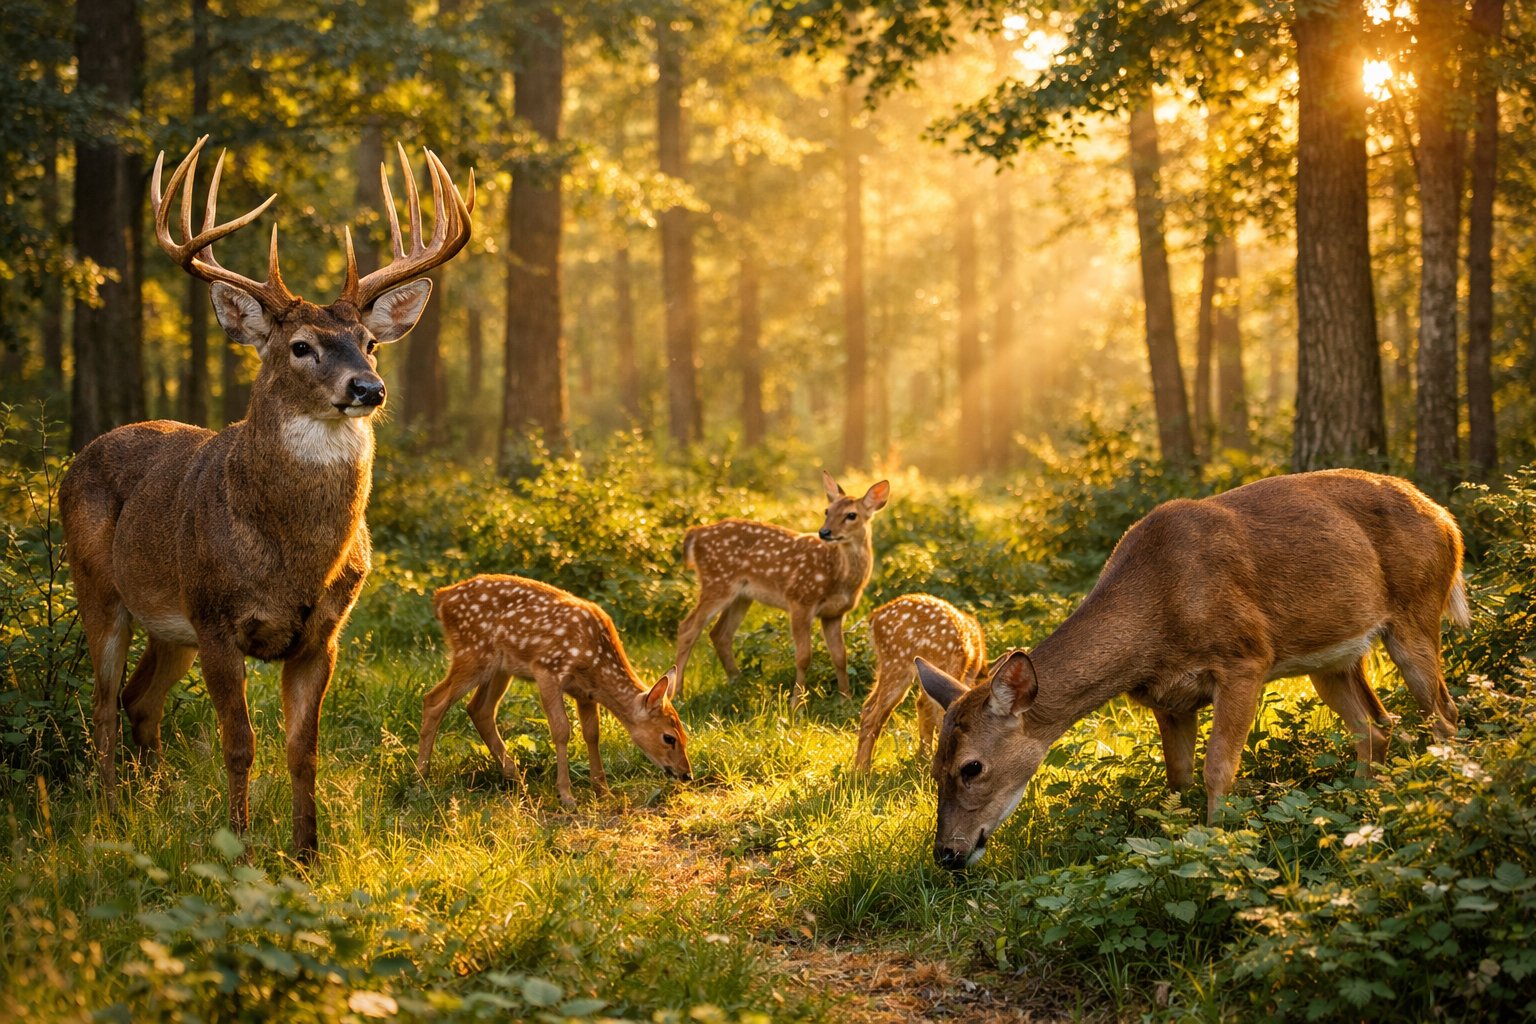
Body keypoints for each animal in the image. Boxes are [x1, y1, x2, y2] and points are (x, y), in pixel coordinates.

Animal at [59, 136, 474, 859]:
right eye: (300, 346)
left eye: (369, 342)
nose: (368, 388)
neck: (292, 561)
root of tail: (77, 457)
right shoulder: (217, 619)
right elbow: (240, 745)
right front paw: (239, 846)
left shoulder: (322, 634)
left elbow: (303, 748)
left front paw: (307, 853)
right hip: (101, 589)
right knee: (104, 704)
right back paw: (111, 815)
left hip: (170, 626)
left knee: (141, 700)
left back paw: (150, 802)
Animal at [417, 575, 692, 806]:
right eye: (669, 737)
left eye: (684, 734)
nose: (686, 774)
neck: (595, 661)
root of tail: (441, 597)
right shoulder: (547, 669)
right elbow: (561, 730)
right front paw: (566, 795)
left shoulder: (585, 693)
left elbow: (592, 733)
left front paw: (603, 791)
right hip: (473, 651)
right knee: (434, 700)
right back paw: (421, 777)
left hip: (499, 667)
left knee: (479, 709)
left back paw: (516, 778)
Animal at [673, 471, 891, 706]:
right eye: (827, 511)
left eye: (852, 515)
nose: (824, 532)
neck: (839, 576)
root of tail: (695, 533)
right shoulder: (800, 599)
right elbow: (804, 656)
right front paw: (796, 702)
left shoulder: (834, 613)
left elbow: (841, 656)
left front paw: (845, 700)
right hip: (717, 581)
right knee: (688, 627)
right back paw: (678, 694)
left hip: (741, 595)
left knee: (719, 633)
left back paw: (739, 682)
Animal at [853, 594, 992, 771]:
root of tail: (875, 617)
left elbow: (924, 708)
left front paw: (923, 760)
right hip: (897, 661)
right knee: (872, 711)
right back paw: (862, 771)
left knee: (873, 707)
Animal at [916, 469, 1468, 870]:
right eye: (935, 767)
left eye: (971, 767)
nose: (947, 854)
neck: (1157, 620)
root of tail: (1448, 521)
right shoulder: (1168, 699)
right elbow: (1178, 776)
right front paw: (1177, 839)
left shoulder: (1246, 659)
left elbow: (1218, 767)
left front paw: (1217, 843)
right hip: (1333, 659)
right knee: (1375, 726)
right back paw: (1360, 808)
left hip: (1417, 612)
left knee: (1445, 713)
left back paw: (1446, 792)